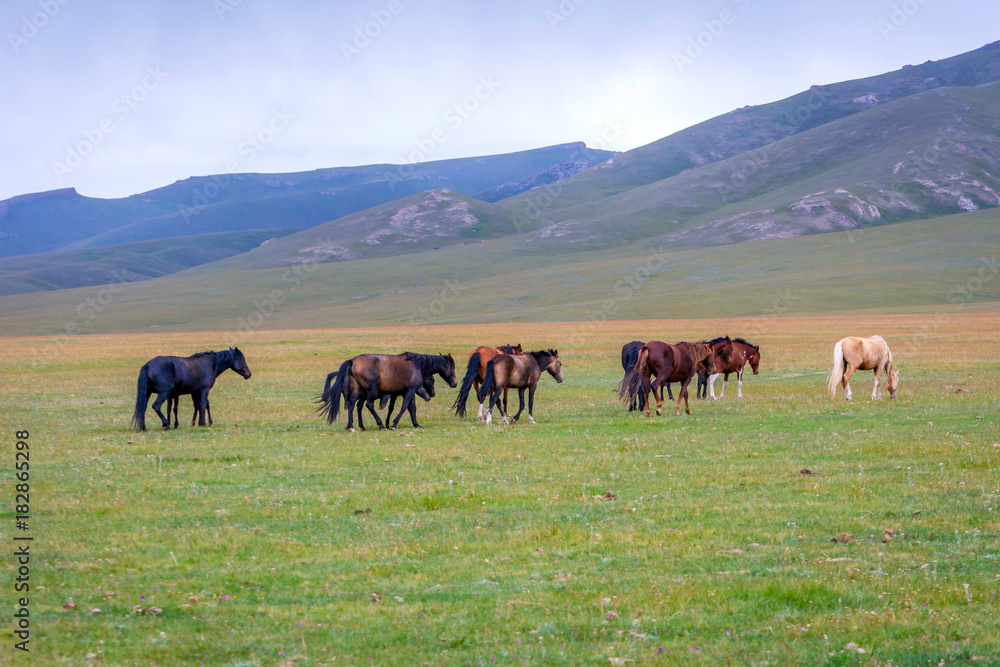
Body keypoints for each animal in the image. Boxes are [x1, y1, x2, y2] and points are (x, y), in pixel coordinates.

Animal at [320, 352, 458, 430]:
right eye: (453, 367)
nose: (455, 383)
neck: (418, 365)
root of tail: (352, 361)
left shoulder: (402, 392)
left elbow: (410, 408)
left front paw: (416, 424)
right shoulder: (410, 390)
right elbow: (404, 407)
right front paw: (393, 424)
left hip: (357, 389)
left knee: (351, 404)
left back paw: (352, 426)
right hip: (371, 390)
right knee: (369, 405)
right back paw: (380, 425)